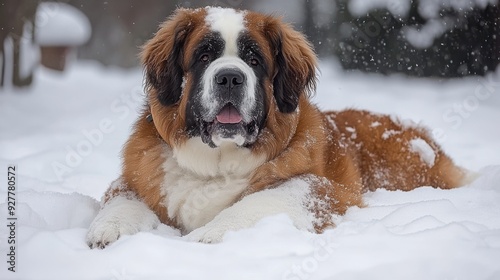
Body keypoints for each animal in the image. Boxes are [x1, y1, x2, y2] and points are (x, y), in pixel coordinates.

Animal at [85, 6, 468, 247]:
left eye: (254, 60)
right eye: (204, 56)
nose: (230, 77)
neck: (215, 165)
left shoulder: (322, 187)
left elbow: (264, 199)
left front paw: (211, 234)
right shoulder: (135, 177)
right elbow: (123, 198)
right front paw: (109, 230)